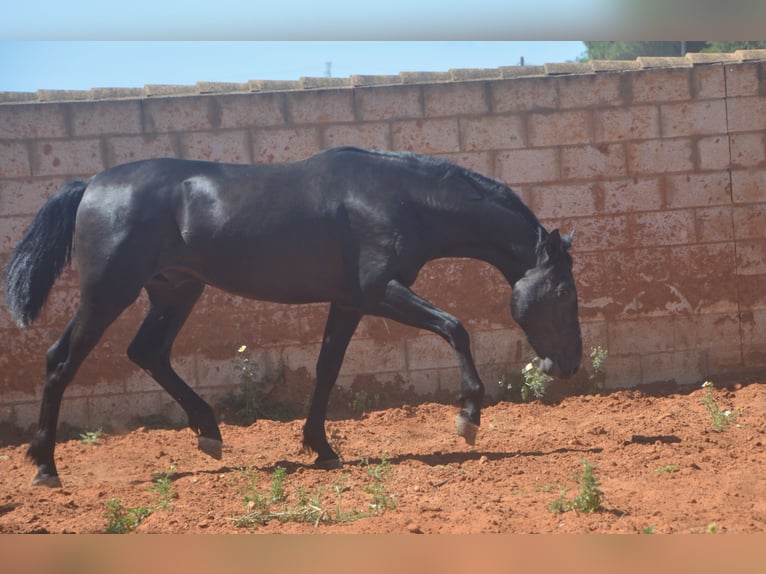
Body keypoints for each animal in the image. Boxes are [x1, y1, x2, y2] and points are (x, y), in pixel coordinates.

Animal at [3, 146, 582, 487]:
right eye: (562, 291)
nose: (569, 364)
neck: (397, 197)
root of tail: (91, 185)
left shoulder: (349, 302)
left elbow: (326, 370)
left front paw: (321, 449)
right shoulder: (379, 291)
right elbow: (455, 328)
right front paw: (468, 419)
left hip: (176, 290)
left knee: (148, 352)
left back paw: (210, 434)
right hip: (109, 293)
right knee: (61, 361)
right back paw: (46, 468)